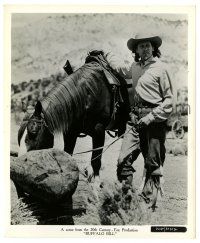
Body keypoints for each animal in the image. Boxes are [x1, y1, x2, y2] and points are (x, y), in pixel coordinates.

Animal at [17, 50, 130, 189]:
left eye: (33, 132)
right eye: (19, 135)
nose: (20, 165)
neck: (86, 95)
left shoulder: (99, 131)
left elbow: (96, 159)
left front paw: (96, 183)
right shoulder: (70, 132)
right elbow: (68, 154)